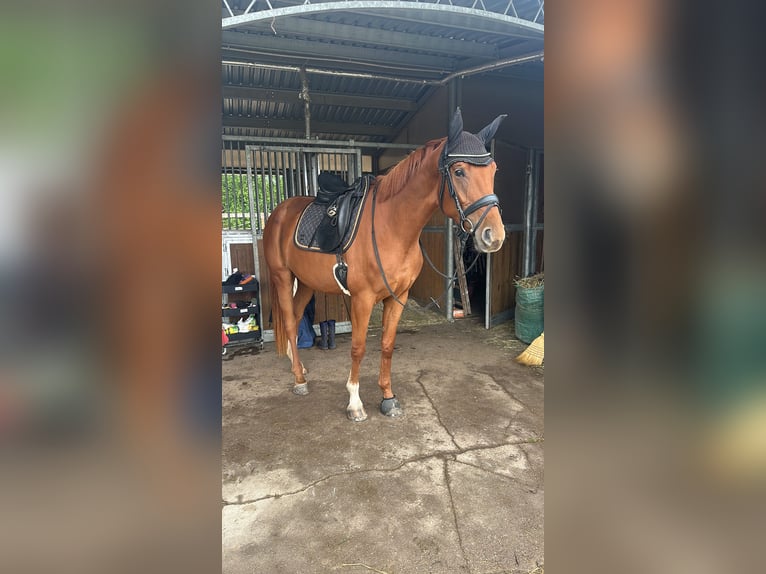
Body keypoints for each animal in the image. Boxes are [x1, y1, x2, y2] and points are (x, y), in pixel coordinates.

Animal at [262, 108, 507, 421]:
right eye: (459, 171)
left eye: (494, 171)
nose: (493, 236)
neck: (391, 227)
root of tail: (279, 212)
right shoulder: (363, 299)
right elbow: (358, 348)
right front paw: (355, 403)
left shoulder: (397, 296)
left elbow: (388, 346)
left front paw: (388, 398)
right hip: (282, 277)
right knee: (291, 323)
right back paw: (299, 380)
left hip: (305, 283)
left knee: (293, 318)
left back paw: (301, 367)